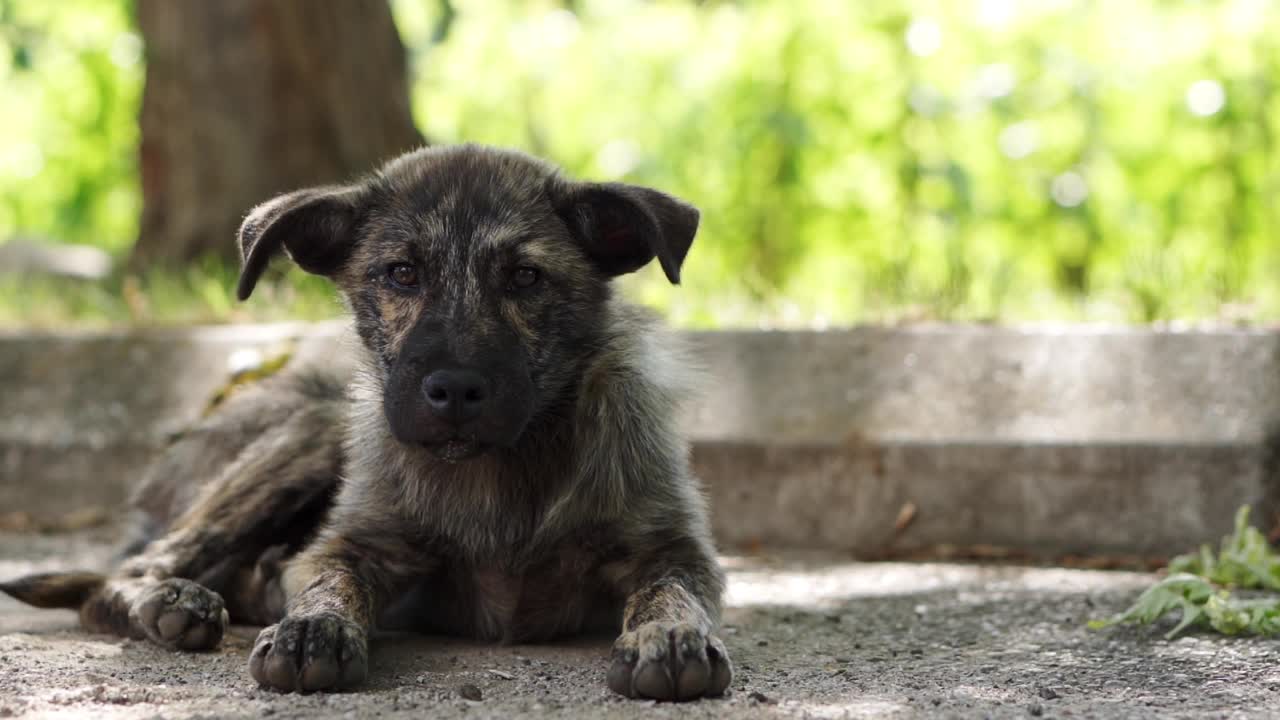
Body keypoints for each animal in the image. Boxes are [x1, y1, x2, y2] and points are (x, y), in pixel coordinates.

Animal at [2, 142, 732, 696]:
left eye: (526, 278)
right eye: (401, 273)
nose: (454, 388)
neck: (500, 473)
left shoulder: (673, 548)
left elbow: (670, 591)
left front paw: (668, 635)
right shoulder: (356, 542)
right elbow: (331, 579)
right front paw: (312, 628)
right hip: (315, 430)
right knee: (129, 573)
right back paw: (175, 602)